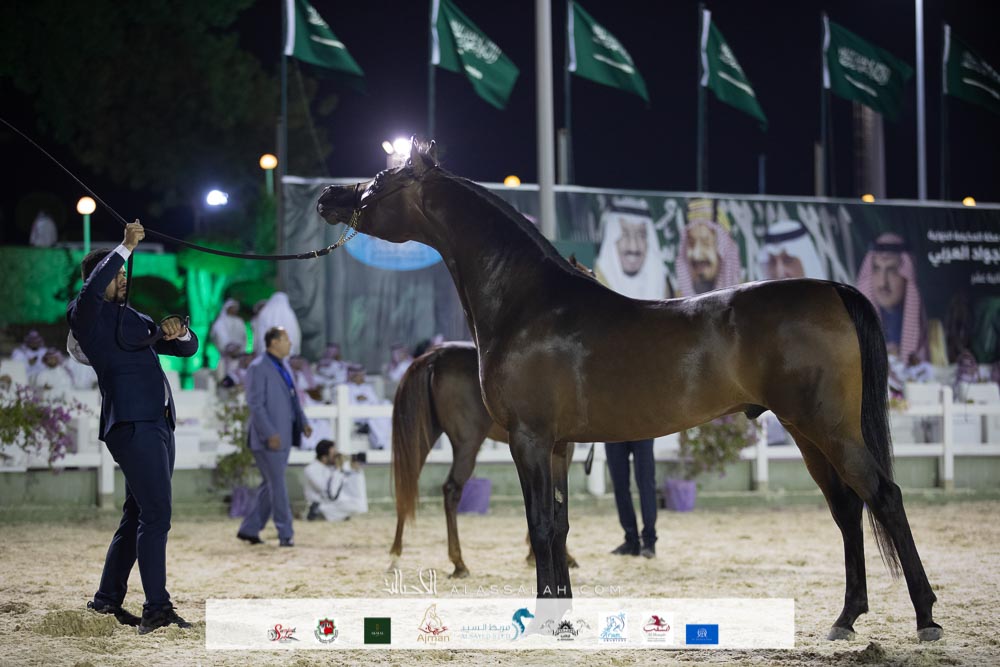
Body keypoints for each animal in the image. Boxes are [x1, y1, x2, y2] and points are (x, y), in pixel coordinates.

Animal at [388, 341, 581, 577]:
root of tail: (439, 354)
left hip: (422, 436)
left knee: (406, 484)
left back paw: (396, 556)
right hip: (467, 444)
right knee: (451, 489)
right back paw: (459, 563)